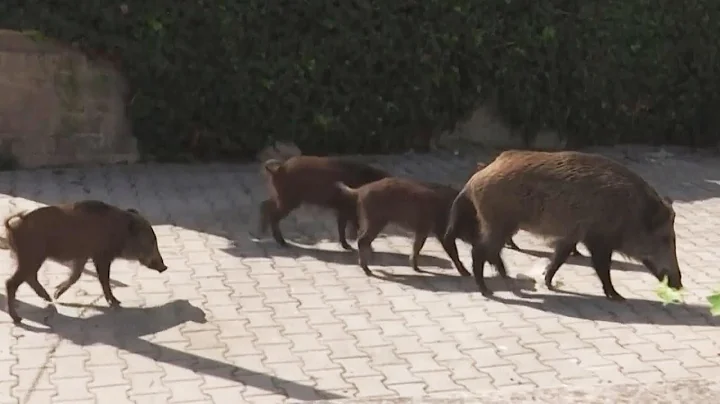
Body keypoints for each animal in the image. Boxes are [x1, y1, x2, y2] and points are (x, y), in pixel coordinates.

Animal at [0, 200, 167, 324]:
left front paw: (57, 293)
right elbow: (104, 279)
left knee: (29, 277)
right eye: (151, 241)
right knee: (11, 282)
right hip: (31, 256)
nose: (164, 267)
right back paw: (18, 318)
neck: (120, 232)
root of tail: (13, 227)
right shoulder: (101, 256)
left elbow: (76, 275)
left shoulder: (83, 256)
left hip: (31, 258)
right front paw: (116, 303)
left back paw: (49, 297)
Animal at [259, 155, 390, 250]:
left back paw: (262, 233)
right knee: (273, 214)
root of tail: (279, 169)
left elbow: (342, 225)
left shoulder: (343, 209)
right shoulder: (348, 208)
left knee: (265, 204)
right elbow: (352, 225)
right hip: (288, 200)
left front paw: (347, 246)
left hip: (280, 196)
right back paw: (282, 243)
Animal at [447, 150, 681, 300]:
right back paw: (487, 291)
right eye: (665, 238)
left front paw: (548, 283)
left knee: (490, 252)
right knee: (480, 250)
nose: (679, 283)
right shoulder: (598, 238)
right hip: (499, 222)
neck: (630, 213)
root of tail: (474, 179)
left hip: (501, 224)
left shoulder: (571, 236)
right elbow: (602, 268)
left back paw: (506, 279)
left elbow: (559, 258)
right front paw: (617, 297)